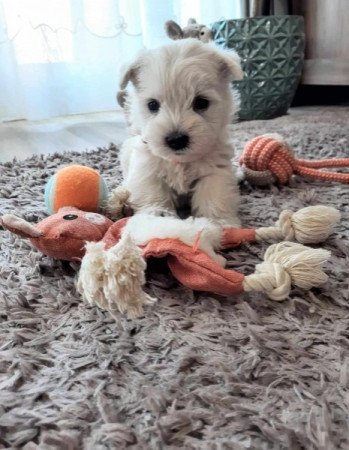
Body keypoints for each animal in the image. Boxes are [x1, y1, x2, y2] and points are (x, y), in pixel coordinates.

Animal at [117, 38, 242, 227]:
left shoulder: (215, 171)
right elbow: (153, 193)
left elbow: (214, 196)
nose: (176, 140)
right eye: (152, 105)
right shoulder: (147, 169)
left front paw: (219, 222)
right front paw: (157, 216)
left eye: (201, 102)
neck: (181, 162)